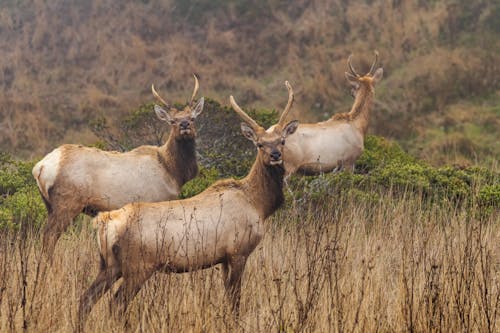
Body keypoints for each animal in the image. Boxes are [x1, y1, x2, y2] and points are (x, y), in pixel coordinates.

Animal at [33, 76, 205, 256]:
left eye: (192, 117)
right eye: (172, 121)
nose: (184, 124)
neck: (172, 171)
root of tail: (39, 168)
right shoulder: (156, 201)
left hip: (50, 205)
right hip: (66, 203)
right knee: (49, 236)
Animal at [76, 81, 298, 330]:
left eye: (282, 140)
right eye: (259, 144)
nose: (276, 155)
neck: (258, 204)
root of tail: (105, 225)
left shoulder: (223, 259)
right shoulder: (238, 251)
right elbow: (235, 301)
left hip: (109, 265)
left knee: (85, 300)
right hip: (138, 266)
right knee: (115, 304)